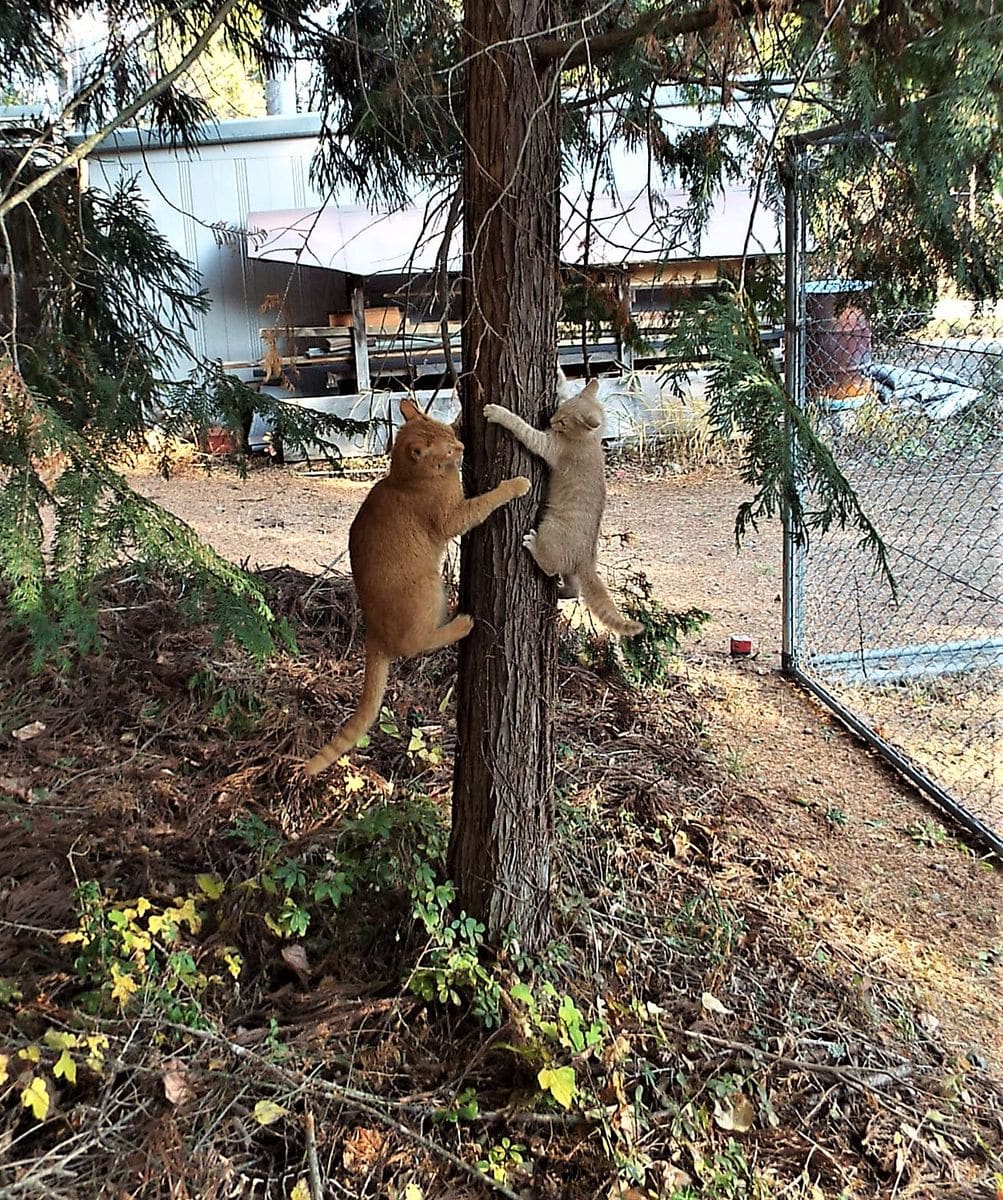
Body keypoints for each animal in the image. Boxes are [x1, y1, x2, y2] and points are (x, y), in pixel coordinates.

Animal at [303, 400, 532, 777]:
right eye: (449, 450)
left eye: (451, 435)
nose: (462, 447)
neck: (403, 480)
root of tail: (373, 632)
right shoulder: (454, 517)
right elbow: (486, 501)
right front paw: (515, 485)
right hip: (430, 586)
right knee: (417, 645)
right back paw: (461, 623)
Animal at [484, 374, 643, 638]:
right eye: (560, 410)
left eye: (564, 421)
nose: (550, 420)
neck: (591, 440)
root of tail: (587, 561)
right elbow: (563, 385)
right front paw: (559, 376)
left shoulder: (546, 445)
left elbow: (521, 426)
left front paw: (496, 412)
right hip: (572, 574)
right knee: (574, 590)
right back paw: (560, 592)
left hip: (549, 530)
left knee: (549, 567)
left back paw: (532, 544)